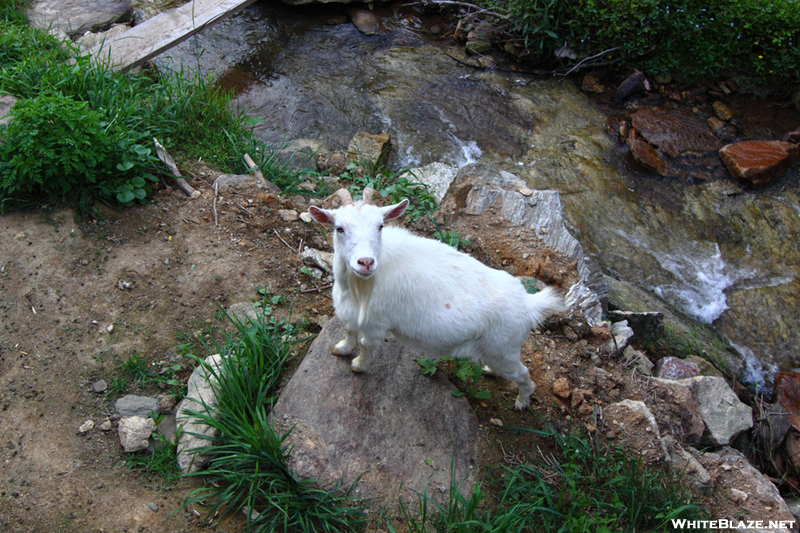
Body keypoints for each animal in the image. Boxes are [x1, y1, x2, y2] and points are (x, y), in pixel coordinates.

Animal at [310, 189, 564, 410]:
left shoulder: (376, 324)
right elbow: (349, 331)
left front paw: (358, 366)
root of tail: (530, 304)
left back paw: (522, 402)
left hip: (504, 348)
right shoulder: (351, 312)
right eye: (339, 228)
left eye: (380, 226)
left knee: (523, 375)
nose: (366, 262)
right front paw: (341, 349)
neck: (356, 287)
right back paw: (491, 371)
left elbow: (365, 345)